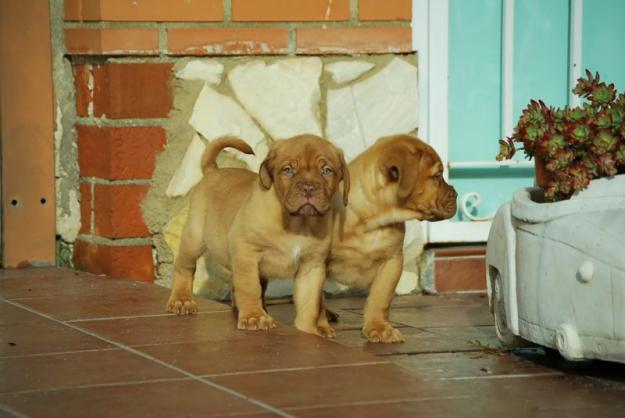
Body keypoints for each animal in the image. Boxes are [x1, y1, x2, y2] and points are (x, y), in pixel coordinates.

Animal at [166, 134, 348, 336]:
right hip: (194, 238)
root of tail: (213, 170)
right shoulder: (247, 253)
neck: (298, 223)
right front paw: (254, 317)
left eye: (326, 171)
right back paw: (181, 300)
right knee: (184, 267)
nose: (308, 187)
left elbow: (310, 304)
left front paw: (310, 331)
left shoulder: (311, 266)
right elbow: (249, 287)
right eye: (287, 169)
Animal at [326, 134, 458, 342]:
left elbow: (380, 298)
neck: (372, 221)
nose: (457, 194)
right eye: (437, 176)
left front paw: (379, 328)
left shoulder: (392, 262)